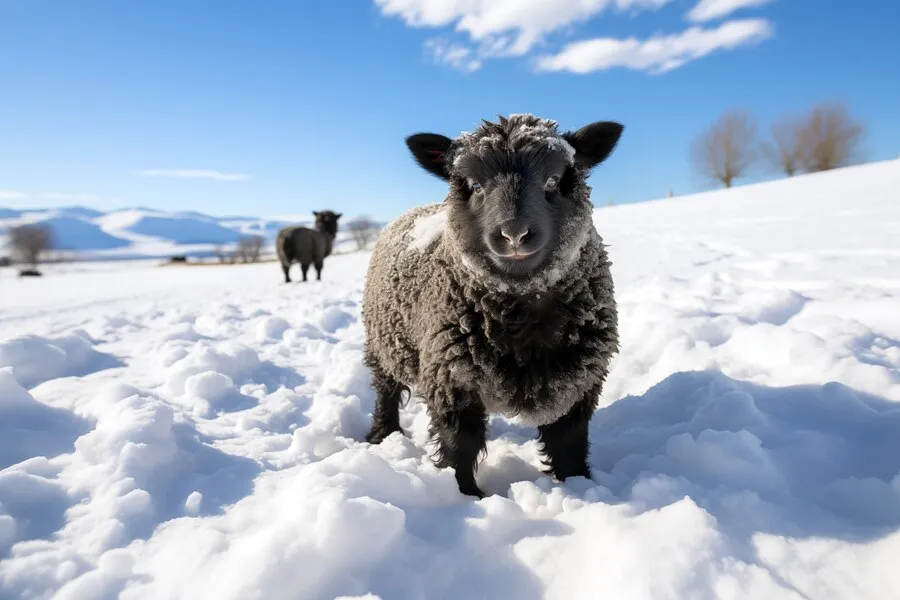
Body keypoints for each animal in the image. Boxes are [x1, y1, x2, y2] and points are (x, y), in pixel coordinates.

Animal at [362, 112, 624, 496]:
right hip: (386, 342)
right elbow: (461, 443)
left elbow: (569, 442)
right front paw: (464, 496)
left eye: (553, 179)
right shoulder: (449, 377)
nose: (514, 233)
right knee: (386, 391)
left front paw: (579, 487)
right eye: (475, 184)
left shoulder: (579, 379)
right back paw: (382, 434)